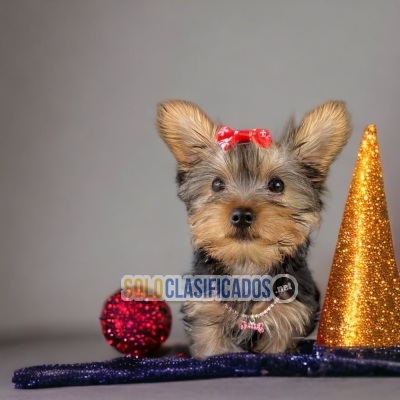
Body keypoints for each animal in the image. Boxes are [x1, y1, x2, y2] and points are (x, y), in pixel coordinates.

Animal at [156, 101, 350, 360]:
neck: (247, 266)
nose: (241, 215)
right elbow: (213, 350)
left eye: (277, 185)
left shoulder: (286, 320)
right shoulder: (206, 313)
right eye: (217, 184)